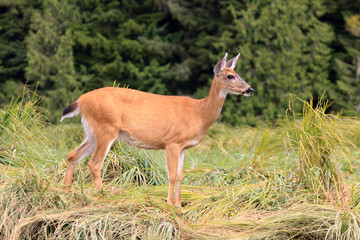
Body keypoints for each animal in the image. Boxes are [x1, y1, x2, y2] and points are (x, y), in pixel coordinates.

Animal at [60, 52, 255, 206]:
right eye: (230, 76)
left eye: (238, 73)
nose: (250, 89)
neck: (199, 113)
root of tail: (81, 100)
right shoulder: (172, 141)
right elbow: (172, 174)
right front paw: (169, 204)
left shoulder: (183, 147)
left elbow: (181, 174)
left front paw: (179, 206)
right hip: (106, 128)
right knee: (94, 163)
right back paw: (102, 195)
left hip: (92, 132)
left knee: (72, 155)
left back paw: (66, 193)